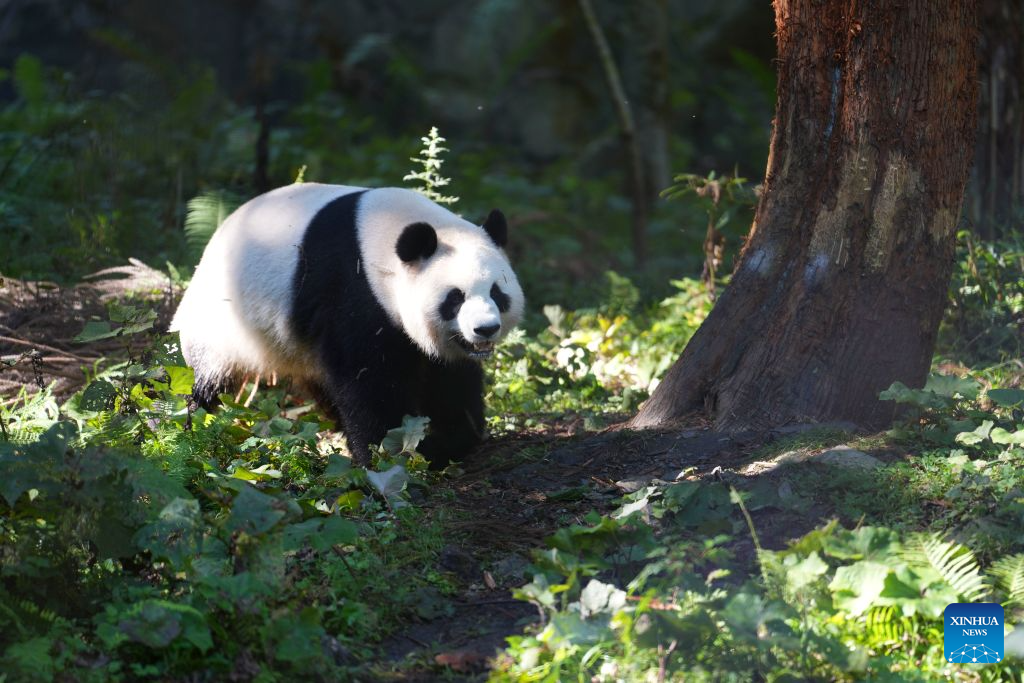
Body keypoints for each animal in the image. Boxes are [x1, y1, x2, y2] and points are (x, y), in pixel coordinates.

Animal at [170, 183, 524, 466]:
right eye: (455, 297)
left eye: (497, 292)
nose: (485, 329)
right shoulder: (353, 291)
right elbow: (367, 380)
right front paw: (386, 453)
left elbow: (451, 379)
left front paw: (450, 439)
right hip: (221, 325)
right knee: (204, 381)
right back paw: (189, 429)